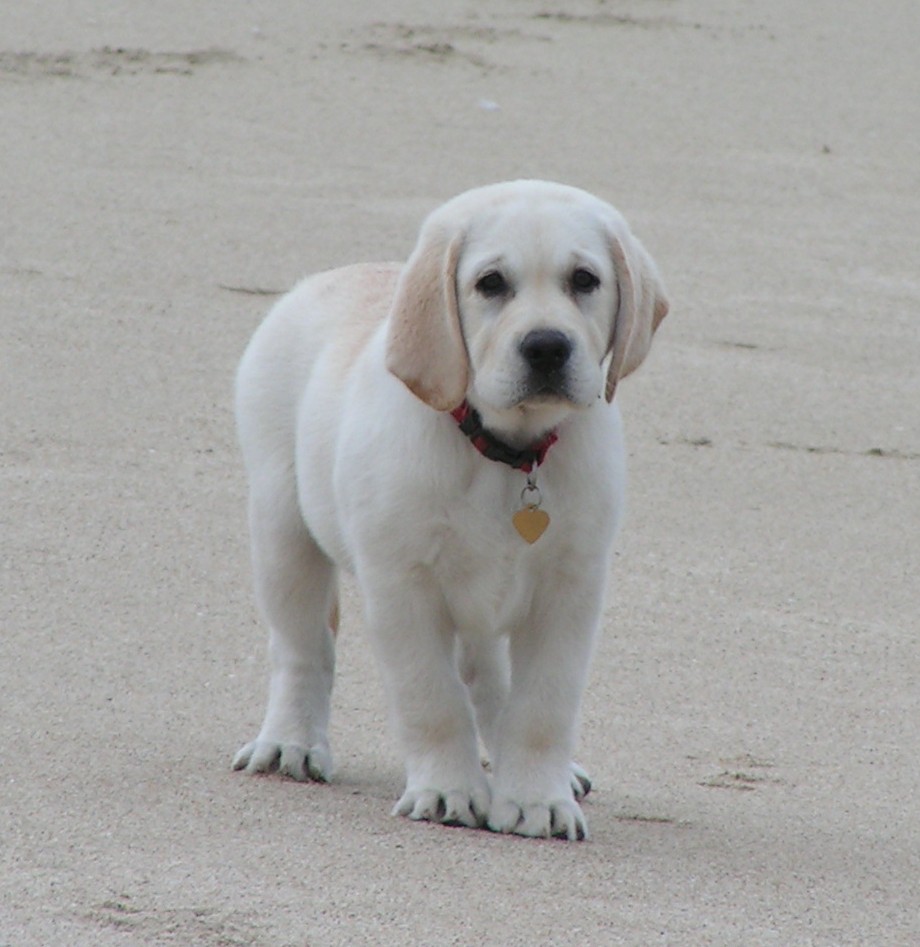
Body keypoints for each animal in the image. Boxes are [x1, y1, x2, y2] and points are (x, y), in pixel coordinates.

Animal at [232, 180, 668, 836]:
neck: (506, 453)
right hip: (283, 530)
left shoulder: (571, 590)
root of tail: (331, 277)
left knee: (489, 682)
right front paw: (448, 791)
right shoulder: (402, 587)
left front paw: (538, 799)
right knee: (302, 647)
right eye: (491, 283)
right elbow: (431, 699)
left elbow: (543, 706)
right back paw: (290, 744)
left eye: (585, 280)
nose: (546, 346)